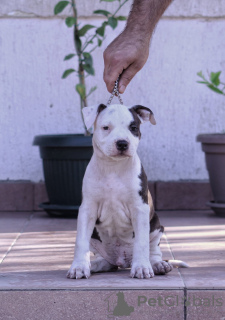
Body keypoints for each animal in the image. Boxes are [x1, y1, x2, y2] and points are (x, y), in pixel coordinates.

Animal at [67, 104, 188, 278]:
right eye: (106, 127)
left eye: (133, 128)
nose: (122, 143)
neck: (113, 167)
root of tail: (122, 261)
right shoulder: (87, 209)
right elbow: (80, 241)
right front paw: (79, 267)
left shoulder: (140, 209)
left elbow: (141, 243)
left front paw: (142, 267)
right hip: (97, 242)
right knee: (105, 262)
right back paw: (95, 265)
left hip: (157, 228)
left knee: (153, 252)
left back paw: (157, 265)